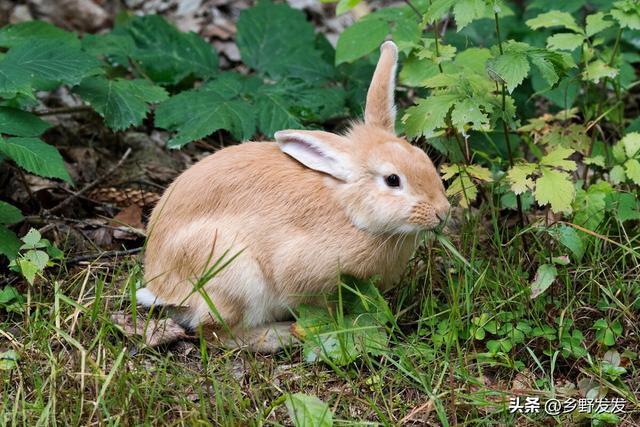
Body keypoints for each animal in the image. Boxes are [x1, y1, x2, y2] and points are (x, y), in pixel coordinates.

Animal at [140, 41, 450, 354]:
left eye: (423, 158)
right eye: (392, 180)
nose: (443, 212)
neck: (352, 213)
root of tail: (161, 286)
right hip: (235, 274)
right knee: (217, 333)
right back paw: (281, 335)